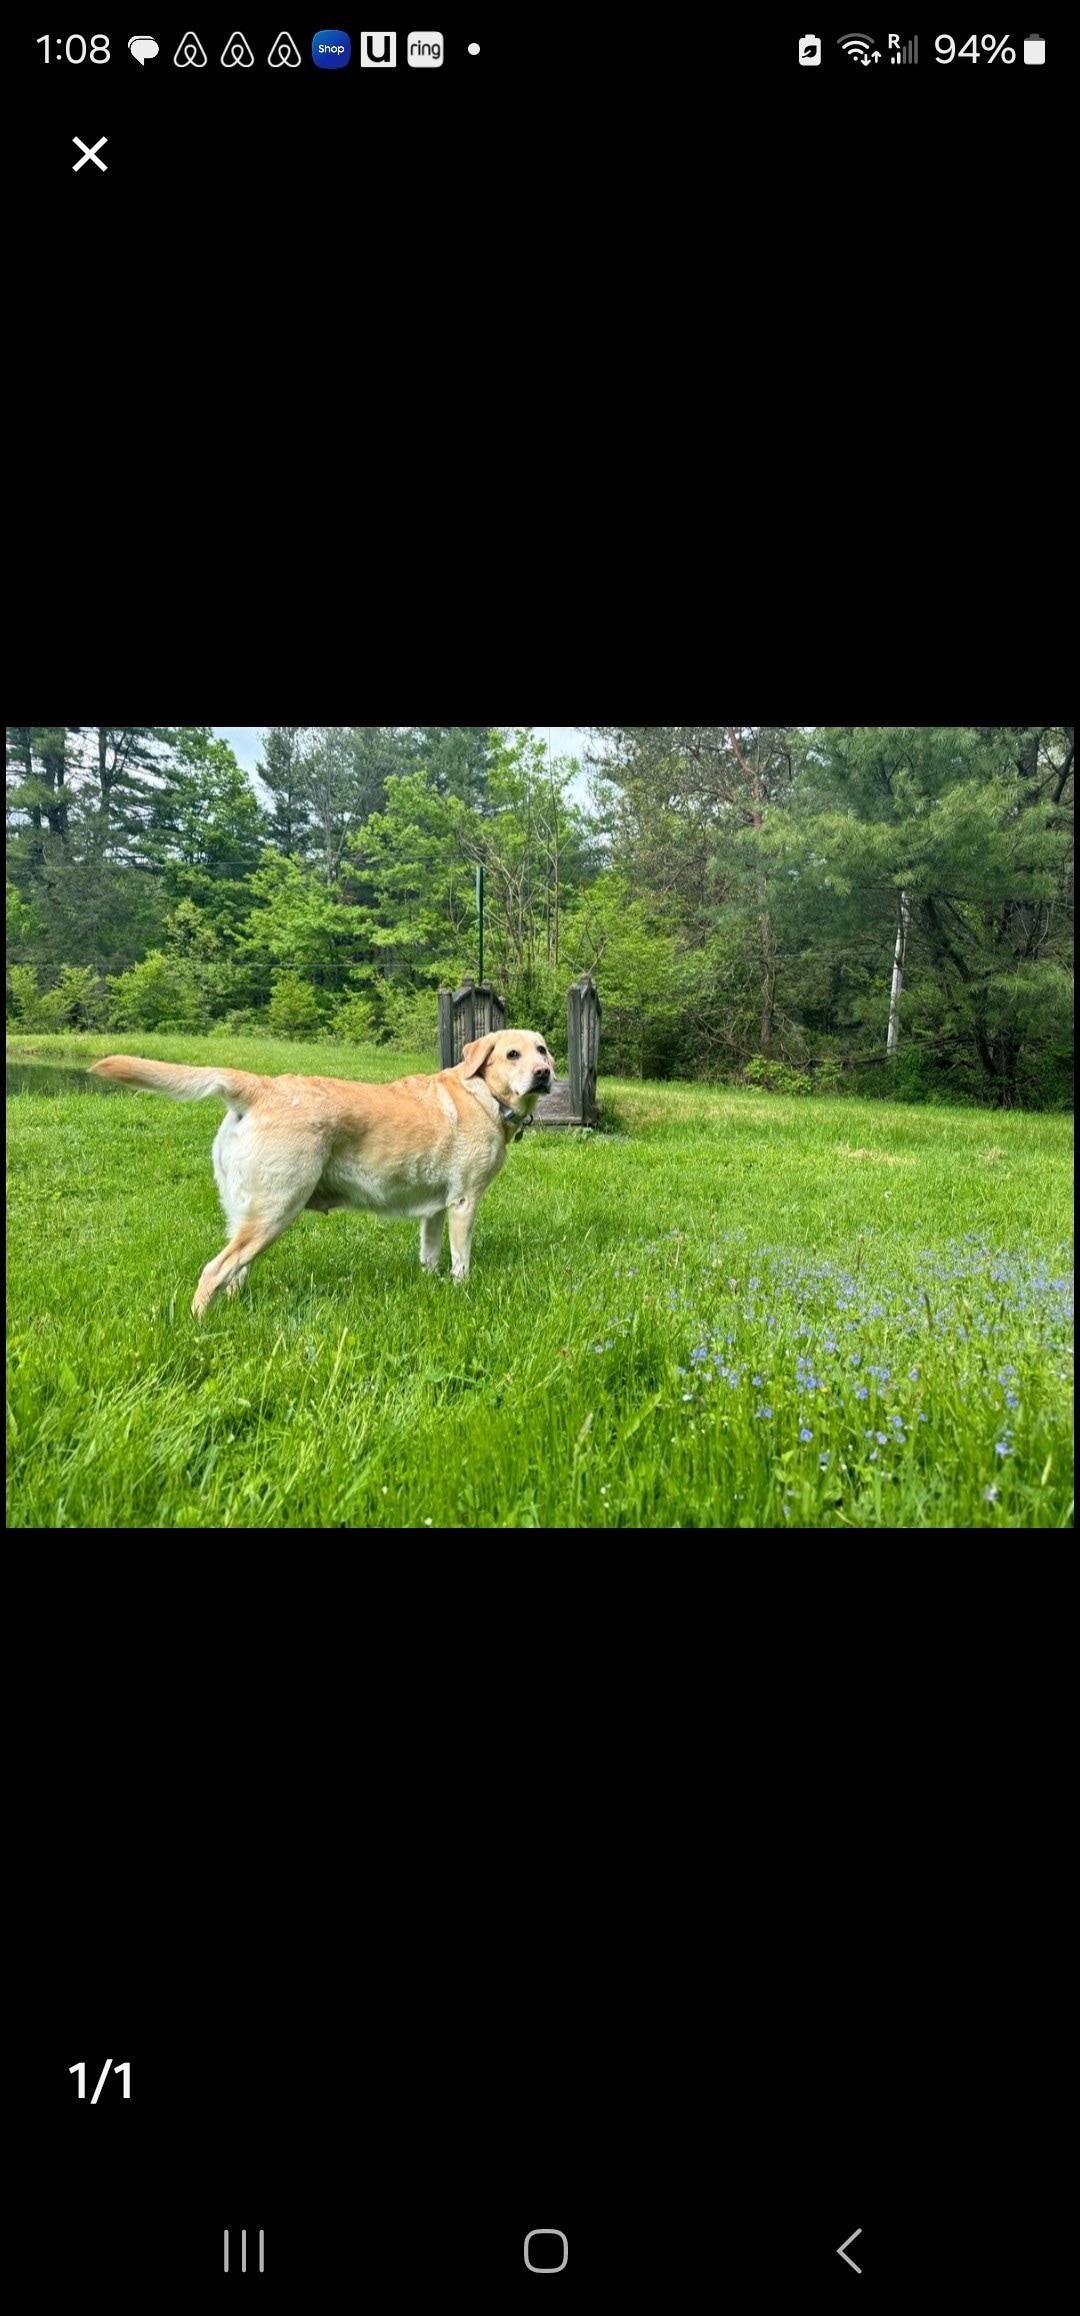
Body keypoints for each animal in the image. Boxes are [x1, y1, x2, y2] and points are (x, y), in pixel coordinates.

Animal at [90, 1032, 553, 1315]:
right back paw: (200, 1325)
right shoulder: (463, 1201)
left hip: (249, 1215)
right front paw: (461, 1291)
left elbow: (430, 1254)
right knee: (214, 1270)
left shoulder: (434, 1210)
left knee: (235, 1272)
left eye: (543, 1050)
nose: (544, 1073)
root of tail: (261, 1087)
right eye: (512, 1054)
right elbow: (460, 1259)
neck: (486, 1095)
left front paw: (431, 1283)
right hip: (276, 1210)